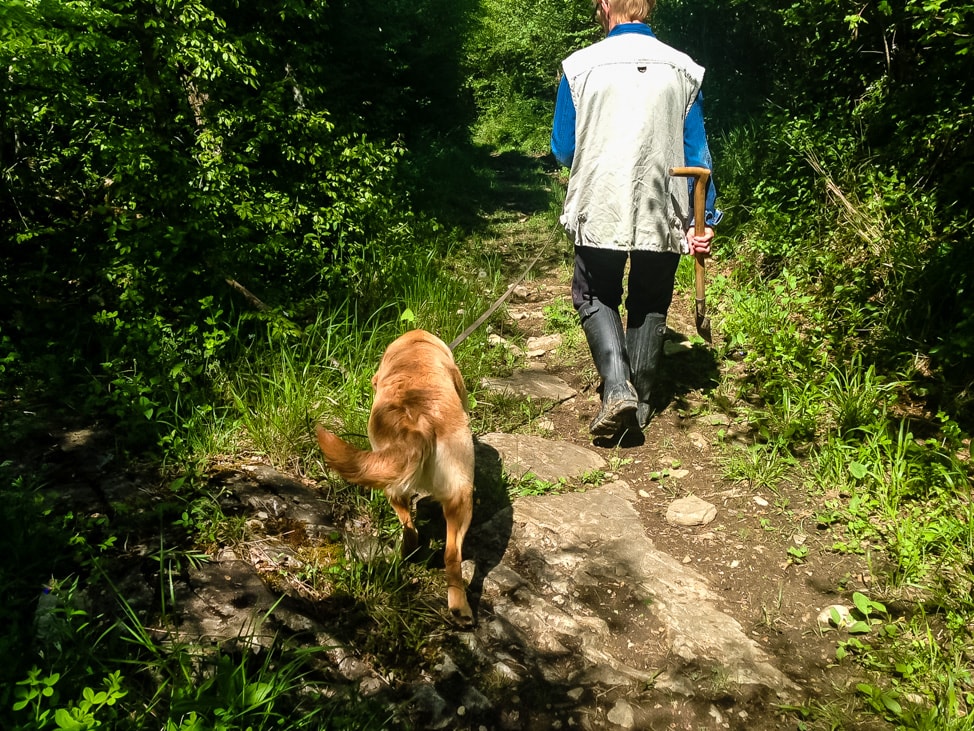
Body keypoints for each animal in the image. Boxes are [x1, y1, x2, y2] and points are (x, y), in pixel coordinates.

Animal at [316, 328, 476, 628]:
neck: (416, 347)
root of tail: (418, 422)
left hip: (398, 488)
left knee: (415, 532)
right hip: (462, 497)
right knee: (451, 553)